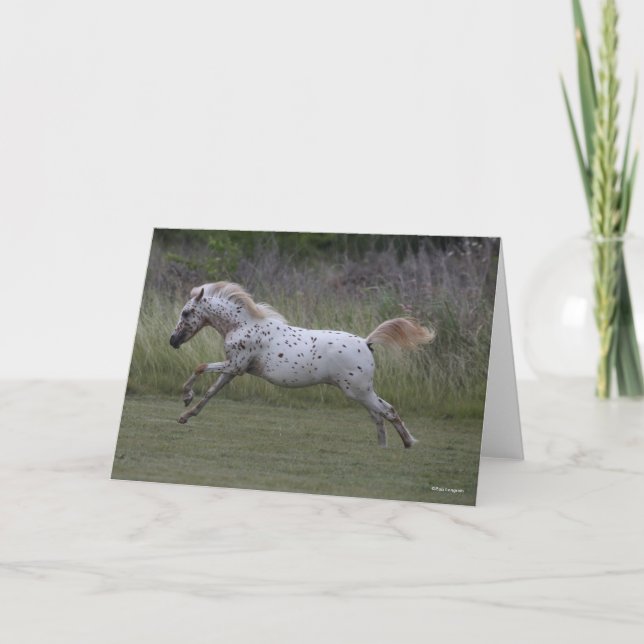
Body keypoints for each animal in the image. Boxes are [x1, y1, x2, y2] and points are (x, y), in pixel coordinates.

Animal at [169, 281, 435, 448]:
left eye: (186, 313)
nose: (173, 341)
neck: (242, 325)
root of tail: (367, 342)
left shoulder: (235, 366)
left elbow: (200, 367)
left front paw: (186, 397)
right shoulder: (234, 369)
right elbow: (211, 393)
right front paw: (185, 415)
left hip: (358, 391)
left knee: (386, 412)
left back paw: (407, 443)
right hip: (362, 392)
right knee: (380, 414)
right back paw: (385, 447)